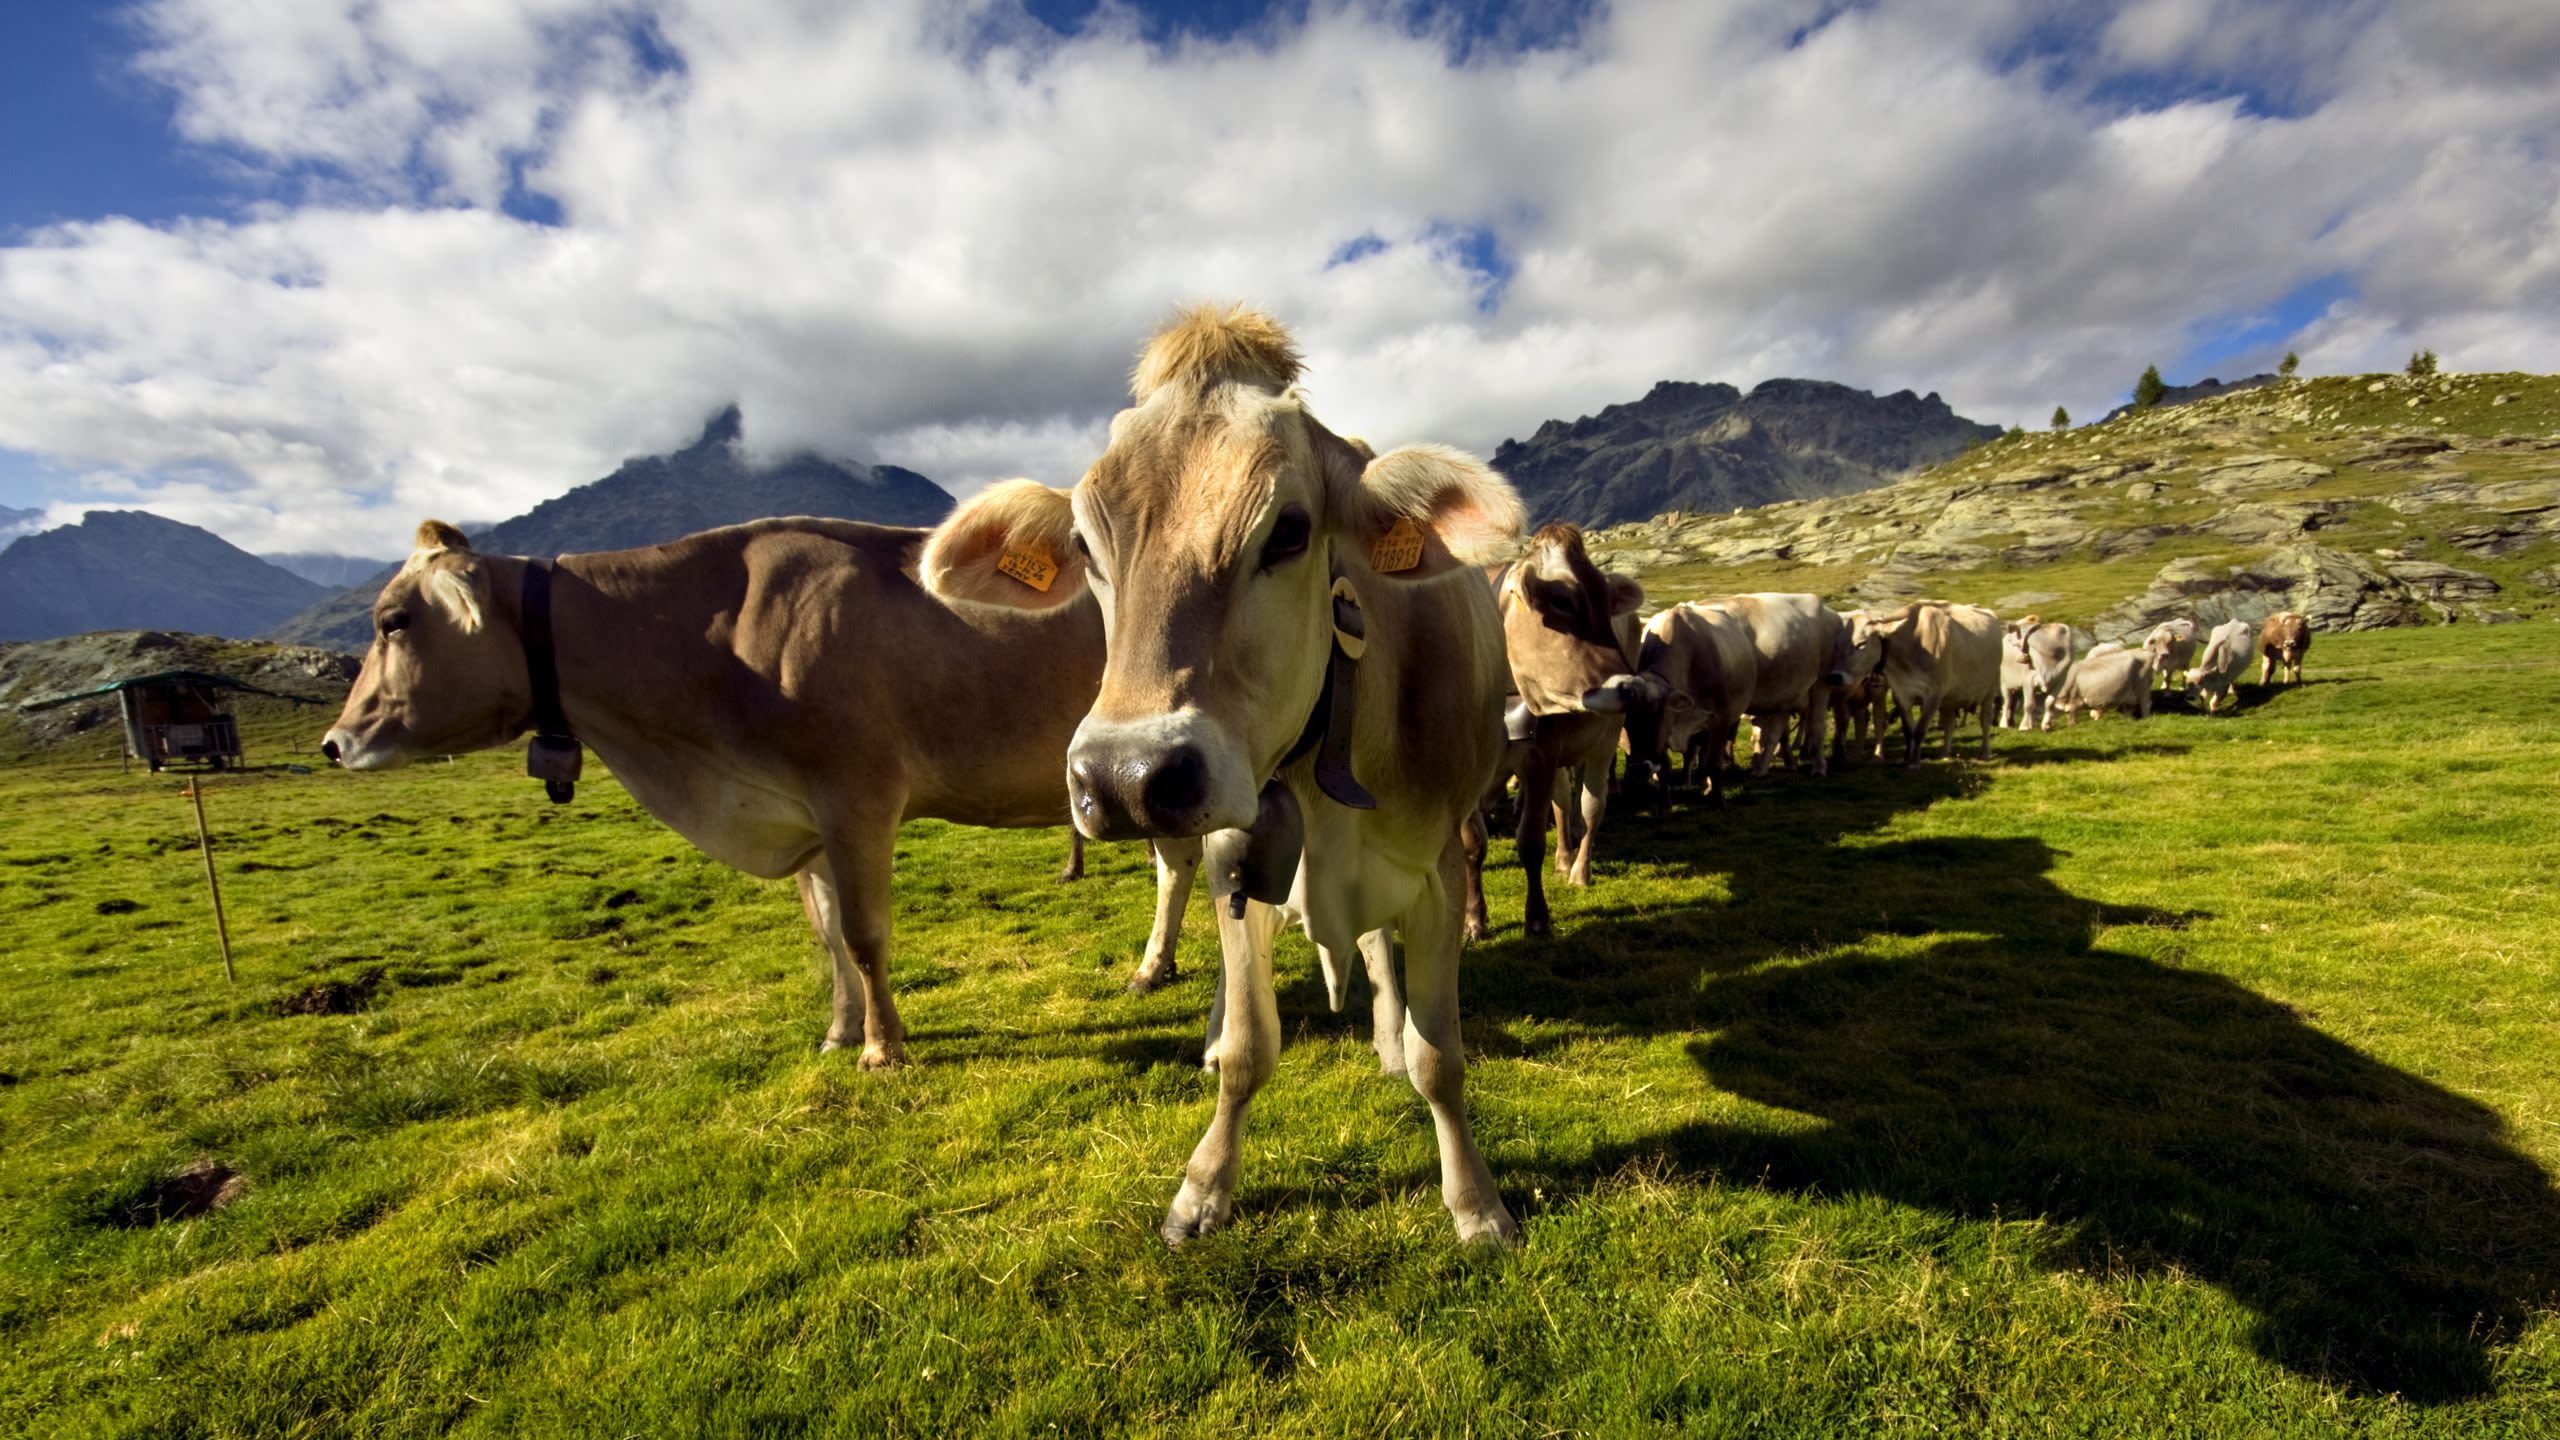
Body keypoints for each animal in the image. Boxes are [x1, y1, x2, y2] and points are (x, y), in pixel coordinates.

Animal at [320, 509, 1198, 1060]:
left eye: (393, 621)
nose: (336, 741)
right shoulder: (800, 812)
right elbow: (825, 932)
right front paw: (840, 1031)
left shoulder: (856, 797)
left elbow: (863, 934)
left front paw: (882, 1047)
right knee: (1178, 863)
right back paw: (1152, 967)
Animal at [916, 304, 1515, 1245]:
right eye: (1086, 544)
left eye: (1291, 530)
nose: (1124, 777)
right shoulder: (1243, 853)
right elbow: (1248, 1048)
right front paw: (1204, 1187)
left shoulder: (1439, 868)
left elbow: (1439, 1057)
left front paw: (1476, 1202)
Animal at [1495, 515, 1648, 932]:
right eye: (1562, 600)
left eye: (1609, 602)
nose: (1633, 687)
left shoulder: (1556, 750)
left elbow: (1573, 816)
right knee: (1563, 801)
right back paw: (1564, 857)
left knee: (1584, 803)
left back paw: (1576, 865)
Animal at [1853, 597, 2007, 763]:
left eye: (1862, 643)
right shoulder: (1901, 694)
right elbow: (1909, 731)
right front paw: (1908, 758)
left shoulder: (1934, 694)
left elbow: (1920, 730)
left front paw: (1914, 762)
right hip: (1950, 697)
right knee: (1949, 724)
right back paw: (1945, 754)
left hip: (1990, 689)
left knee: (1985, 721)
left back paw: (1985, 753)